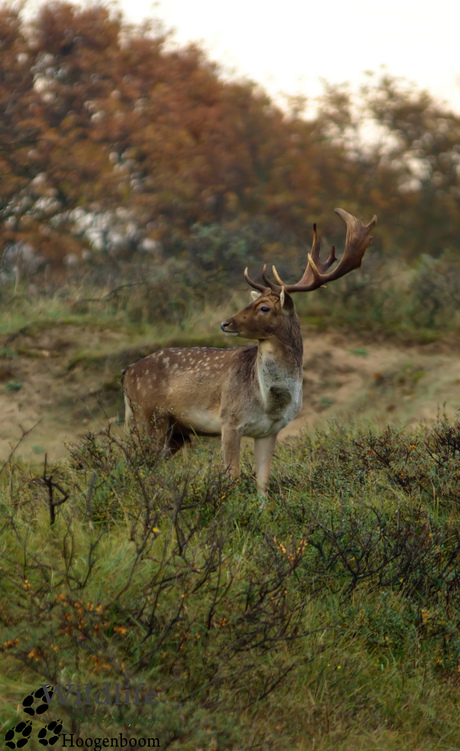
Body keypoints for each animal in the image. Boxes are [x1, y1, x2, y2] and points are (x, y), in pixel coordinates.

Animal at [122, 209, 378, 496]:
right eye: (253, 302)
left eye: (264, 308)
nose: (226, 323)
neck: (268, 401)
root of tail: (126, 372)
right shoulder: (229, 421)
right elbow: (232, 478)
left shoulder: (270, 431)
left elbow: (263, 484)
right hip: (147, 417)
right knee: (135, 462)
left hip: (175, 432)